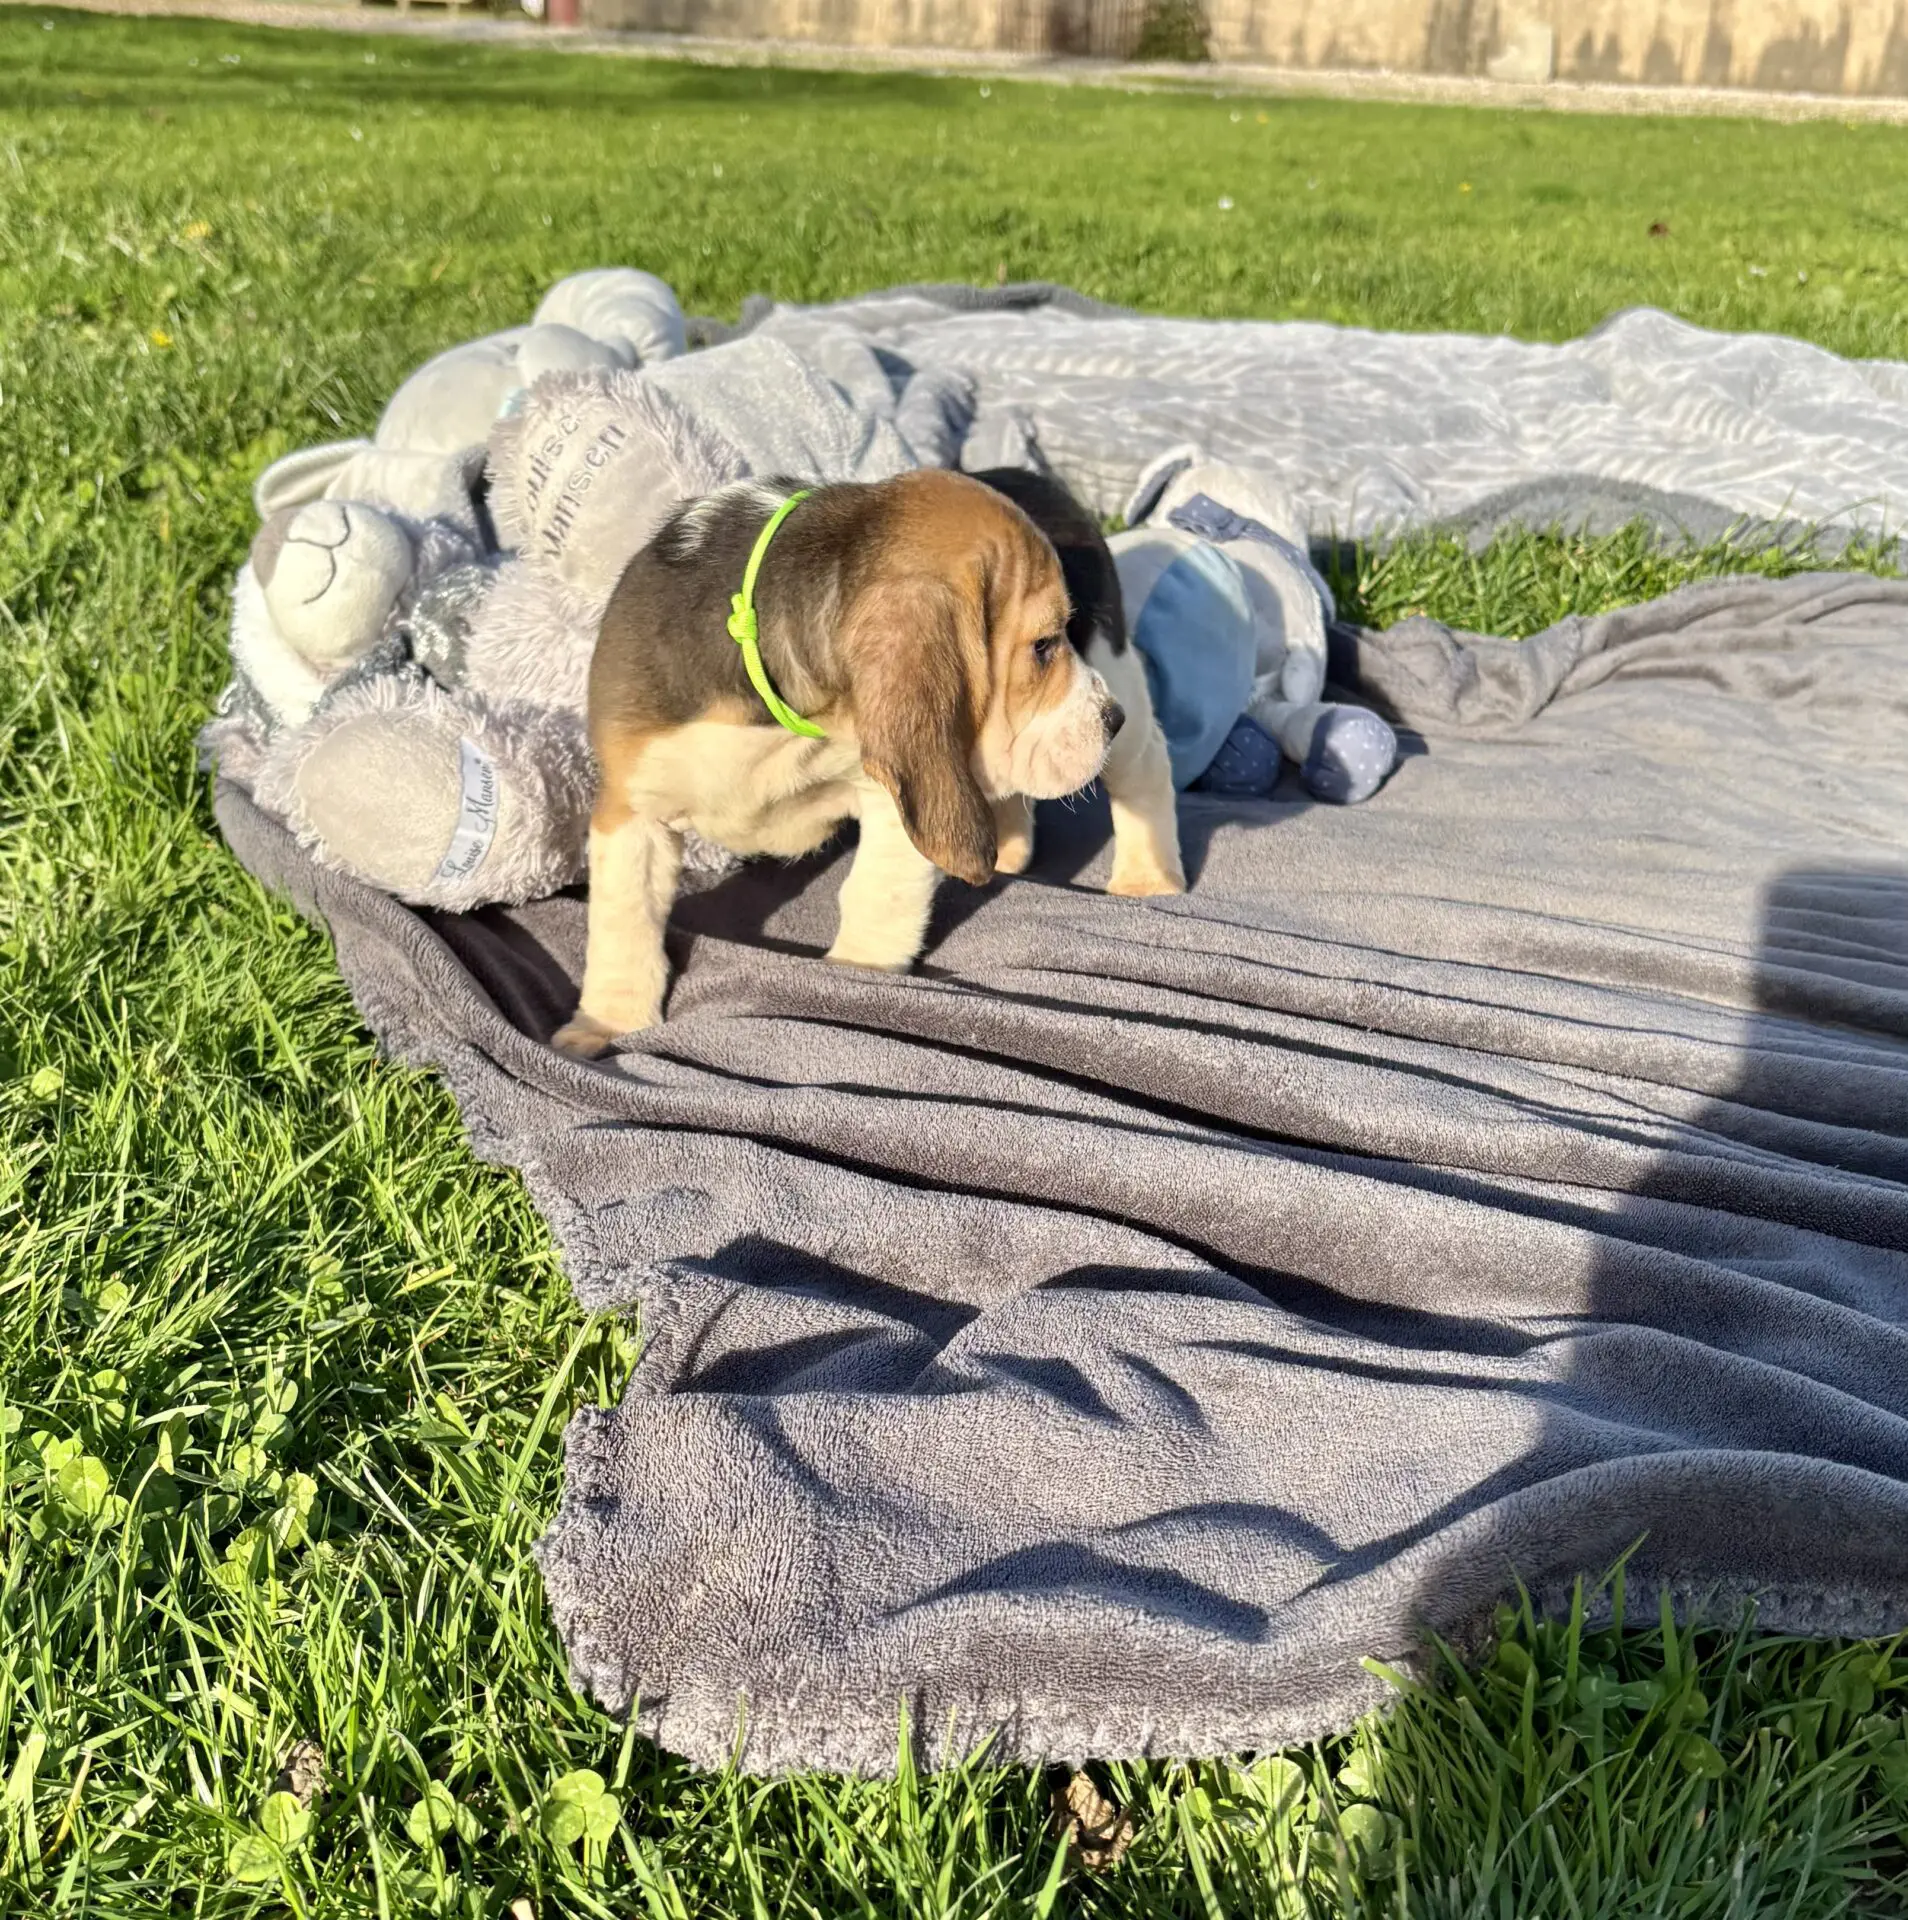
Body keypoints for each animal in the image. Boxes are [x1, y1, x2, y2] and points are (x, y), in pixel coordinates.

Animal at [553, 465, 1185, 1058]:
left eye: (1058, 636)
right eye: (1044, 646)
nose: (1108, 716)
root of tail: (1031, 474)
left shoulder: (901, 788)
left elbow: (875, 893)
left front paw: (853, 980)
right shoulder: (630, 809)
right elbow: (623, 921)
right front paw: (608, 1024)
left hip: (1118, 679)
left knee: (1148, 765)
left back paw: (1148, 878)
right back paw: (1009, 847)